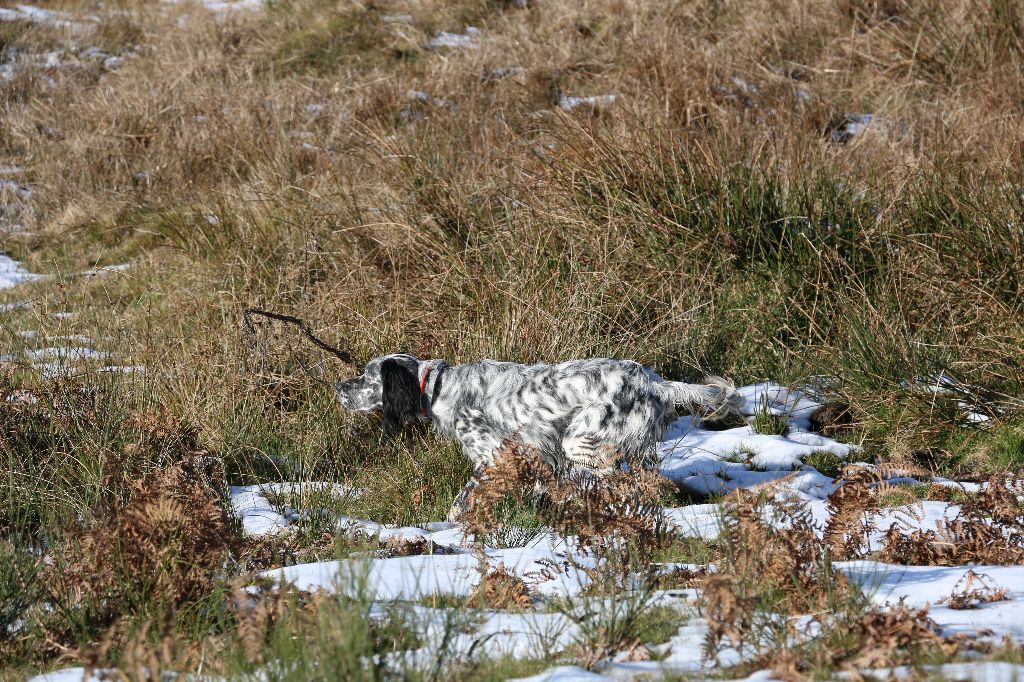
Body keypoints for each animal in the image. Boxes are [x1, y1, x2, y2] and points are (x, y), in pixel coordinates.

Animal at [335, 352, 745, 518]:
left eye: (366, 375)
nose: (339, 387)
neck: (437, 389)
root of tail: (655, 382)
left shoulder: (495, 453)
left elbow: (464, 497)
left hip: (581, 439)